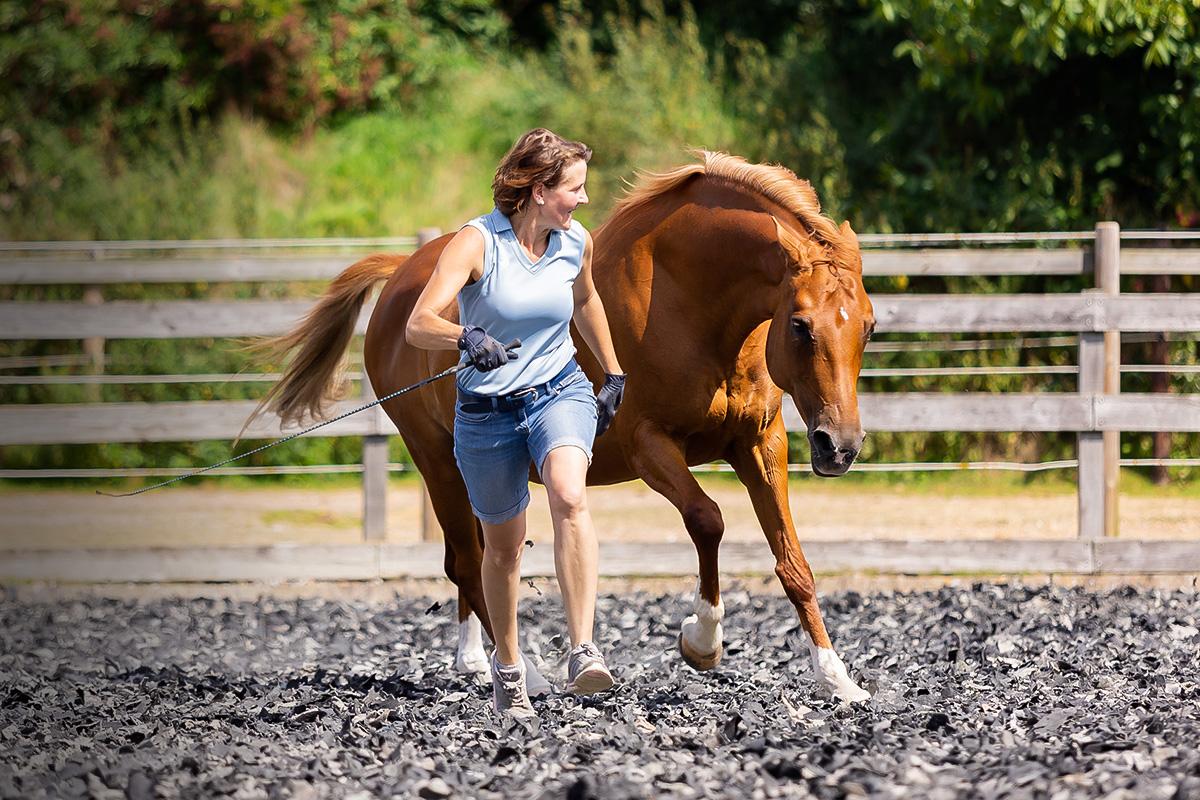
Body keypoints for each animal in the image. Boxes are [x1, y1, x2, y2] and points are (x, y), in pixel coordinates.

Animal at [253, 149, 873, 700]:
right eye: (799, 326)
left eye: (868, 325)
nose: (839, 447)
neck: (689, 300)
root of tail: (403, 275)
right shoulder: (650, 446)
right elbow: (708, 520)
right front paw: (701, 642)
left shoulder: (760, 444)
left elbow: (793, 563)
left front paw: (837, 678)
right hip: (437, 462)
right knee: (467, 562)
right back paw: (523, 674)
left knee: (474, 560)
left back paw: (474, 662)